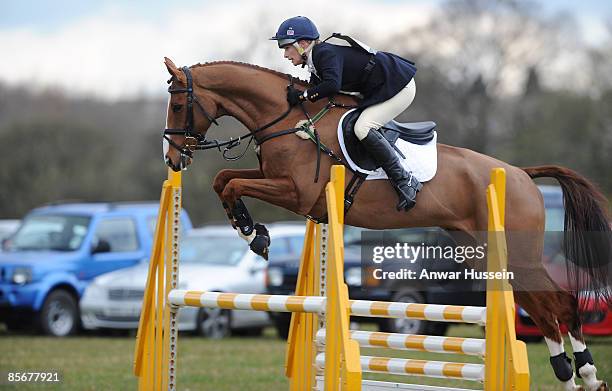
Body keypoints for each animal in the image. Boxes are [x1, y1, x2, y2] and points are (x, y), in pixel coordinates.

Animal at [161, 58, 608, 391]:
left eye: (179, 105)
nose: (173, 159)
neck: (290, 120)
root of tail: (519, 174)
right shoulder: (280, 184)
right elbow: (224, 180)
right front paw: (253, 231)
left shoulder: (297, 192)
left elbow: (233, 182)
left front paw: (255, 234)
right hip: (486, 252)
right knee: (543, 309)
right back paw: (568, 376)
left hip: (517, 253)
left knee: (561, 303)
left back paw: (587, 373)